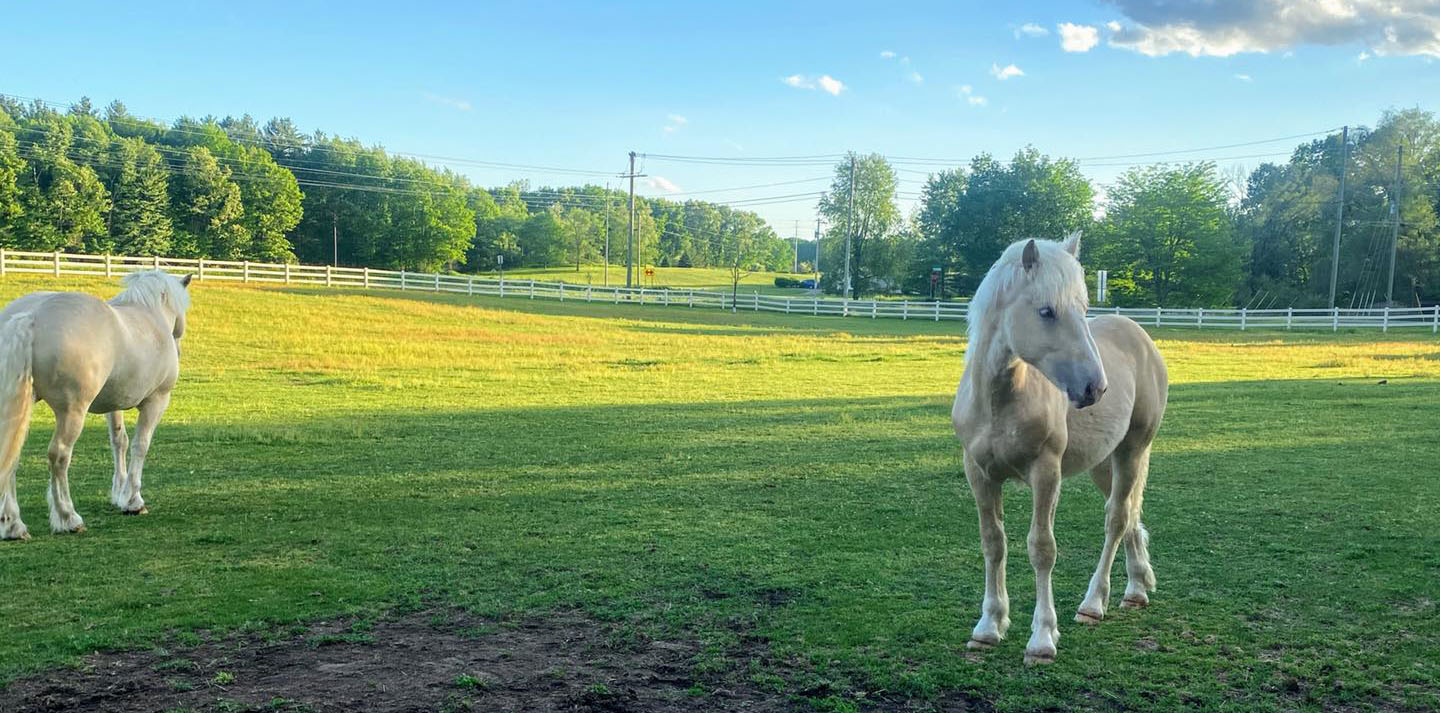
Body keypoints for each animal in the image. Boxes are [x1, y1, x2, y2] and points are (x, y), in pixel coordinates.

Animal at [0, 270, 191, 538]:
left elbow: (119, 441)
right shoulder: (156, 401)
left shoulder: (113, 405)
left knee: (11, 455)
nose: (179, 347)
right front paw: (133, 500)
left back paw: (13, 525)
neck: (151, 315)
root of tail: (31, 316)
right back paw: (68, 518)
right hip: (72, 413)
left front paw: (119, 493)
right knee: (59, 456)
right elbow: (140, 445)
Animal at [956, 237, 1169, 668]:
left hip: (1133, 450)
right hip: (1104, 463)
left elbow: (1042, 549)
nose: (1095, 387)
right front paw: (988, 627)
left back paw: (1094, 603)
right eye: (1046, 311)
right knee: (1129, 514)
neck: (1001, 403)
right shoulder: (979, 474)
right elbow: (993, 543)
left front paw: (1041, 638)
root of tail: (1140, 336)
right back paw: (1137, 589)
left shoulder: (1046, 473)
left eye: (1084, 309)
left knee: (1117, 519)